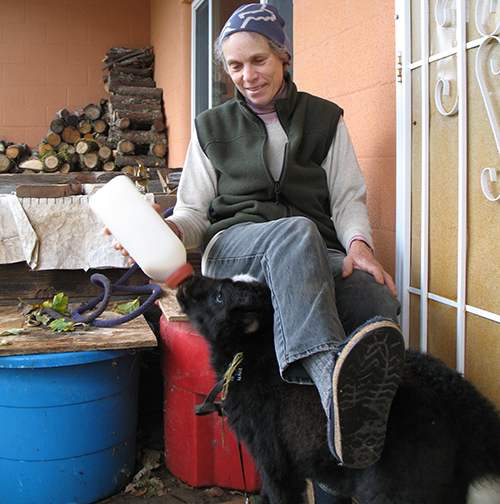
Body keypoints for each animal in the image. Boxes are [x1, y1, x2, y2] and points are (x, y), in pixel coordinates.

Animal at [176, 274, 500, 504]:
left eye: (219, 297)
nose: (184, 282)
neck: (255, 352)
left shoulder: (274, 458)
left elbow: (279, 494)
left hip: (401, 487)